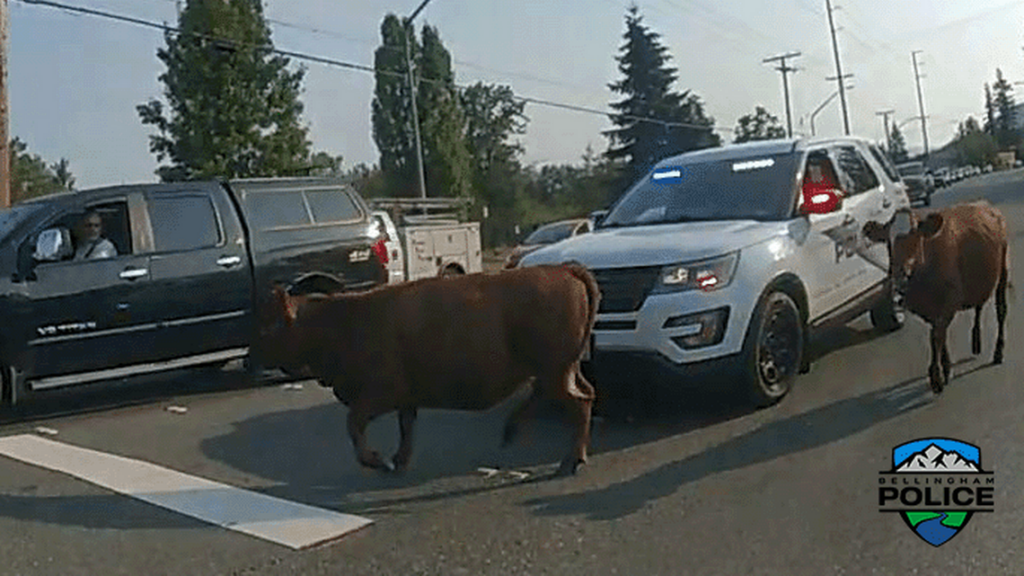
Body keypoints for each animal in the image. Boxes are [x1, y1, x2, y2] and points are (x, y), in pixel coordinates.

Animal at [256, 262, 602, 473]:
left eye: (271, 326)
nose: (252, 356)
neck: (342, 322)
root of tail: (563, 269)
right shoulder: (405, 399)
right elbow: (405, 427)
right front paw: (398, 461)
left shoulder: (379, 394)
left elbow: (354, 425)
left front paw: (378, 461)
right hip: (560, 369)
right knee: (572, 394)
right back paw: (513, 433)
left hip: (554, 370)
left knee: (578, 401)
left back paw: (570, 461)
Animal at [864, 199, 1007, 391]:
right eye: (888, 240)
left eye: (915, 236)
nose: (899, 272)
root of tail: (985, 204)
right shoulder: (929, 310)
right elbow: (940, 335)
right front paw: (946, 369)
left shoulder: (950, 302)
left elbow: (936, 336)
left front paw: (936, 375)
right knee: (979, 307)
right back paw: (976, 342)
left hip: (1004, 271)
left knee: (1001, 310)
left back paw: (998, 352)